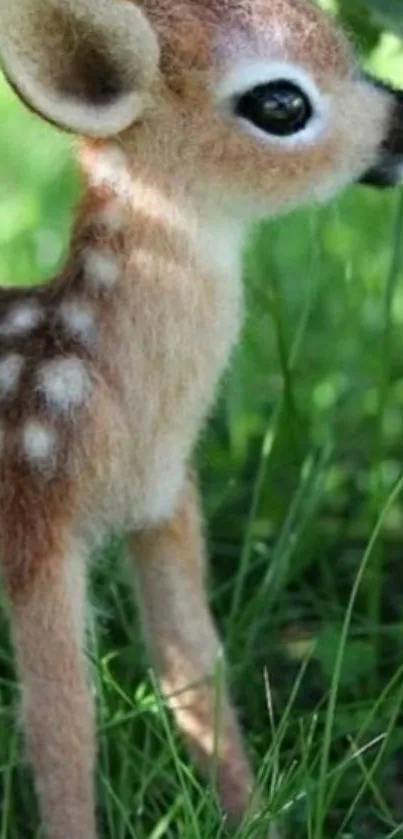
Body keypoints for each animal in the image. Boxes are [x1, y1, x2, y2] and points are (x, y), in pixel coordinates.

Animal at [0, 1, 402, 839]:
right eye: (279, 104)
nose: (400, 128)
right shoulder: (34, 514)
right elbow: (63, 722)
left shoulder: (168, 502)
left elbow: (195, 666)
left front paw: (252, 816)